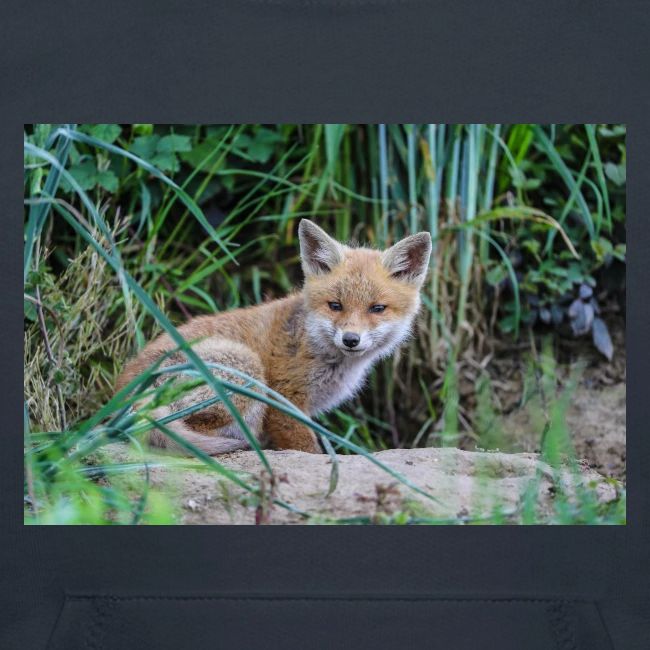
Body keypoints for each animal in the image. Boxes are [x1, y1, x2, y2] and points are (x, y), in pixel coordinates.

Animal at [116, 219, 432, 455]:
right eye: (335, 305)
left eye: (377, 308)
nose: (351, 339)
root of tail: (124, 394)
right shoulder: (284, 400)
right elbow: (307, 448)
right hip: (246, 369)